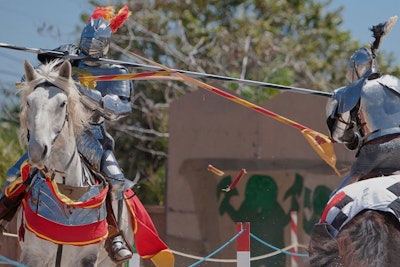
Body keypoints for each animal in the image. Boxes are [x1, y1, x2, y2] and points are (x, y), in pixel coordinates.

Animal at [15, 60, 133, 267]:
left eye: (62, 103)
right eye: (29, 102)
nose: (37, 150)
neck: (66, 189)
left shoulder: (86, 259)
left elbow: (119, 105)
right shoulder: (33, 256)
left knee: (117, 182)